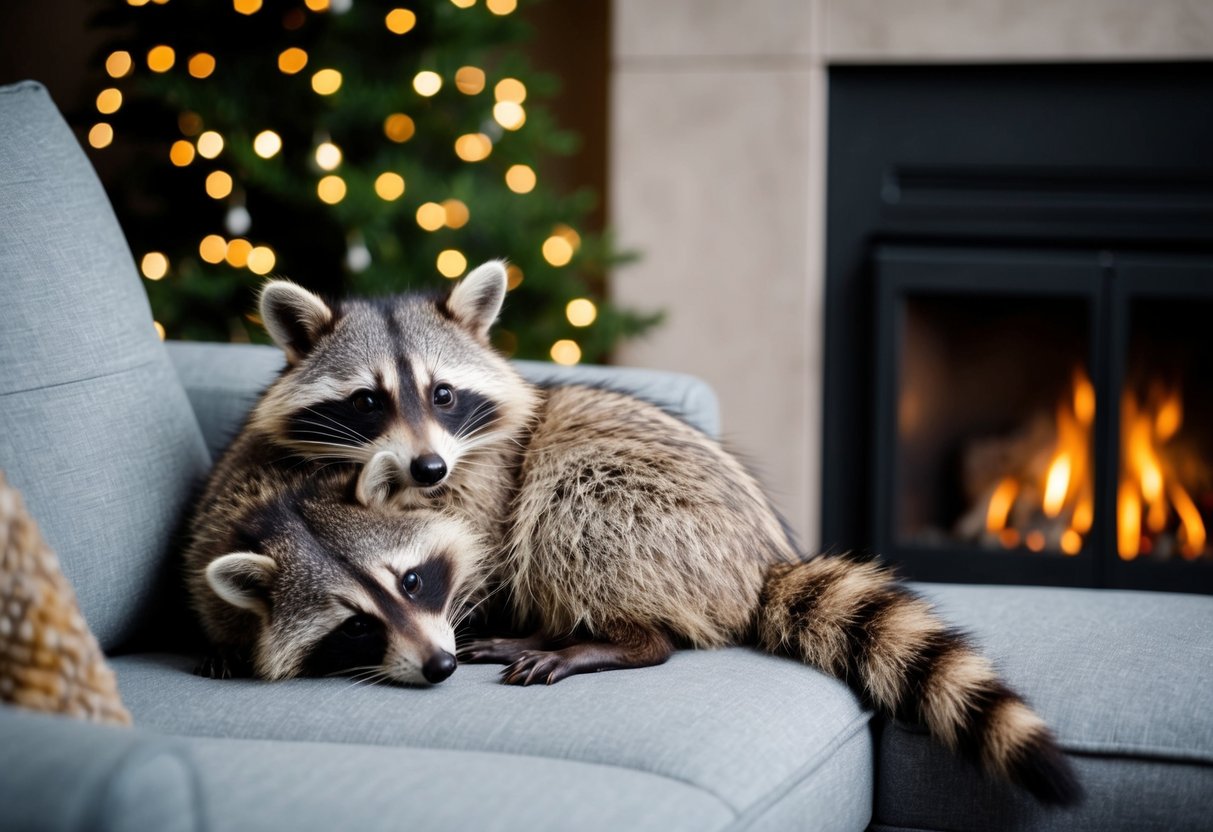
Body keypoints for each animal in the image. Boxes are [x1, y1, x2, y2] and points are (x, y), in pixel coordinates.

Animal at [346, 262, 1081, 805]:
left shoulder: (482, 478)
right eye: (367, 403)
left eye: (442, 395)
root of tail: (761, 565)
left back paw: (615, 639)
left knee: (574, 509)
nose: (425, 465)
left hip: (655, 521)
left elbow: (475, 545)